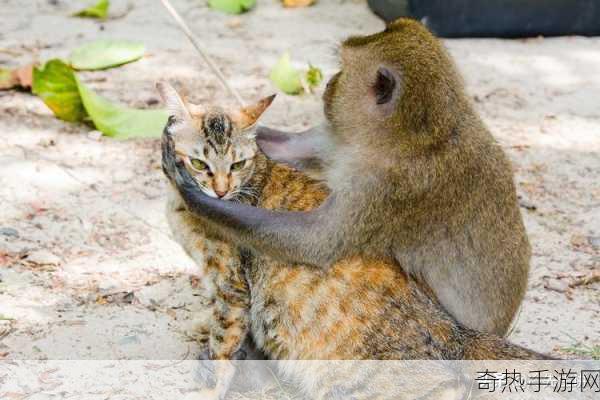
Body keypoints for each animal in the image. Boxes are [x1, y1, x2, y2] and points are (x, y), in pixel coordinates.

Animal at [158, 82, 548, 400]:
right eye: (199, 163)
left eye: (237, 165)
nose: (221, 191)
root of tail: (457, 333)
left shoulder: (232, 285)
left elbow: (224, 343)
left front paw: (208, 384)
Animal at [162, 19, 532, 338]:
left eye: (343, 68)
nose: (330, 83)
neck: (408, 135)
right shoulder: (348, 140)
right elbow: (292, 148)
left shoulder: (387, 188)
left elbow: (315, 243)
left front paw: (191, 193)